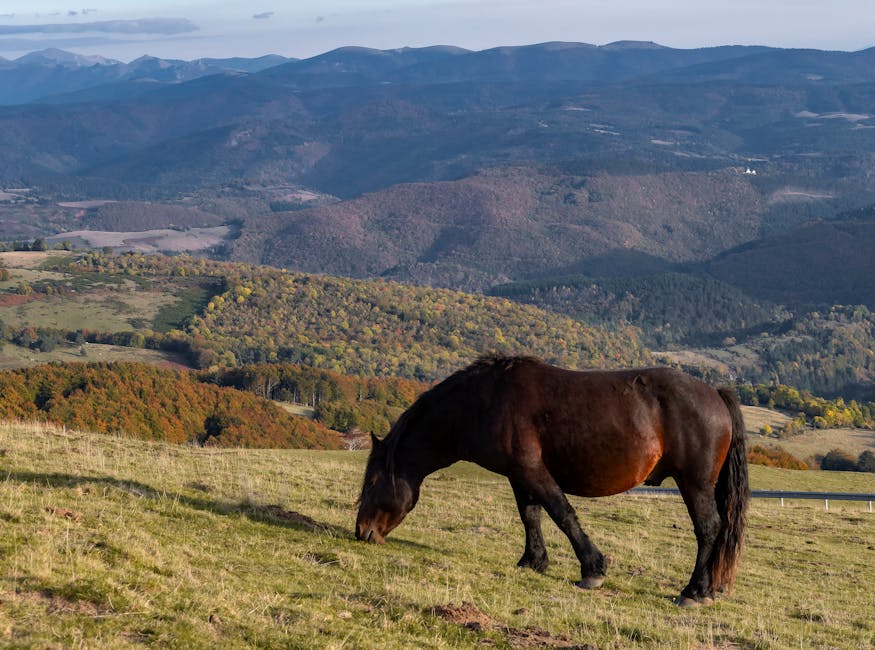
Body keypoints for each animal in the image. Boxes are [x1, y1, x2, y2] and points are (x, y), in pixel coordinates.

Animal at [352, 354, 748, 604]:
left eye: (371, 484)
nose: (362, 532)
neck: (484, 402)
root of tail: (716, 393)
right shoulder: (519, 475)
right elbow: (531, 516)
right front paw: (533, 561)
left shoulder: (533, 471)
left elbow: (562, 514)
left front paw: (592, 569)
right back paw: (707, 589)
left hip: (694, 484)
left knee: (709, 528)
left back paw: (694, 592)